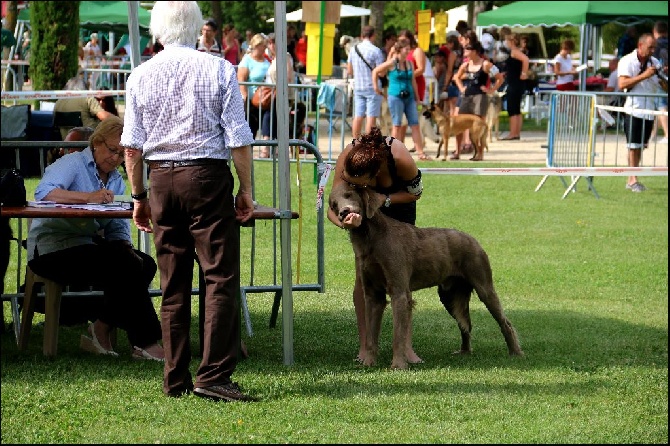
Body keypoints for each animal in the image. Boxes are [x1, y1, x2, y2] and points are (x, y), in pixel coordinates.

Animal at [330, 183, 524, 372]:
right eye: (333, 205)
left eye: (349, 194)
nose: (344, 212)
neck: (371, 238)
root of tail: (473, 240)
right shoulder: (373, 296)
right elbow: (371, 335)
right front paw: (368, 363)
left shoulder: (399, 293)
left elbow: (398, 335)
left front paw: (398, 365)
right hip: (450, 296)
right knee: (465, 324)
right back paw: (464, 352)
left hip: (484, 286)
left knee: (505, 322)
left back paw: (515, 353)